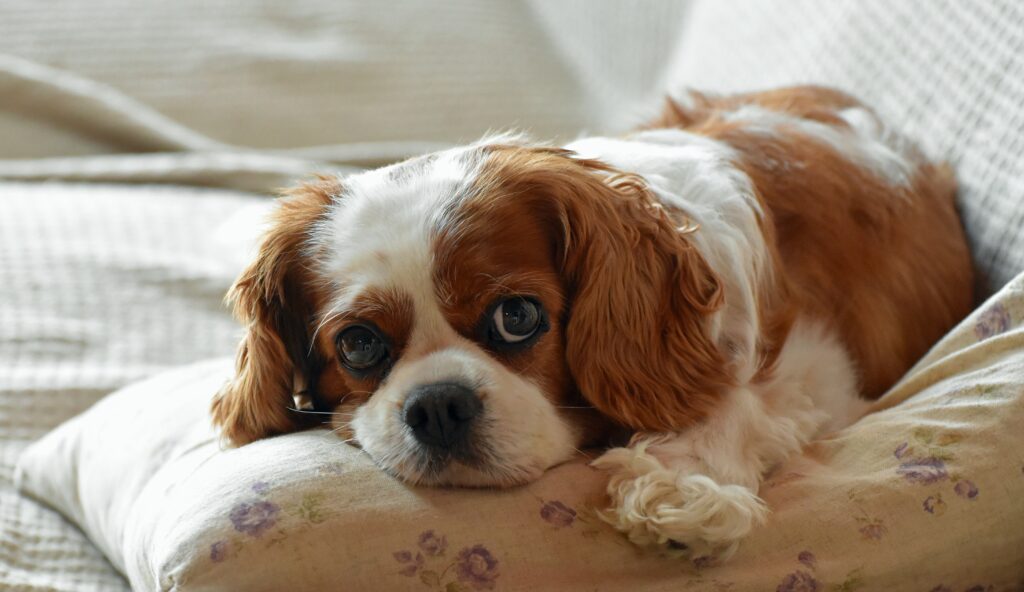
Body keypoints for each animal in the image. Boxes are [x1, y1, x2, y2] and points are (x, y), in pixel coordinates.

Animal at [211, 86, 970, 557]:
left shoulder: (823, 365)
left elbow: (741, 398)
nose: (437, 406)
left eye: (518, 316)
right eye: (360, 345)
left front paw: (683, 485)